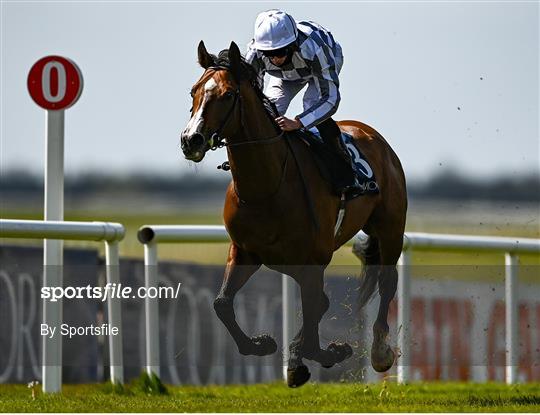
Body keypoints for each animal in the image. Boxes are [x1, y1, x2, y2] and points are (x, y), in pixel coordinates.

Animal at [179, 40, 408, 388]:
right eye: (193, 91)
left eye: (228, 95)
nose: (190, 140)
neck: (266, 186)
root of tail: (371, 134)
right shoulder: (245, 251)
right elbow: (222, 303)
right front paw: (262, 344)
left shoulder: (314, 258)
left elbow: (313, 310)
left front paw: (322, 353)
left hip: (390, 229)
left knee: (386, 280)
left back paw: (380, 350)